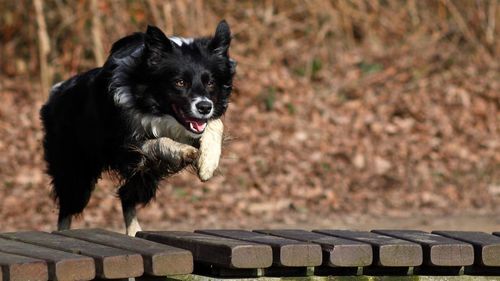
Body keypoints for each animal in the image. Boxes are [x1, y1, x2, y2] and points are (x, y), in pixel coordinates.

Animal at [40, 20, 235, 234]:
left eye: (211, 83)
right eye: (180, 82)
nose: (204, 107)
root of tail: (55, 93)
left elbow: (215, 124)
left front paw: (208, 163)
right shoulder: (123, 147)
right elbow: (157, 141)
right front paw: (182, 151)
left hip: (143, 176)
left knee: (126, 195)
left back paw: (134, 231)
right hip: (75, 171)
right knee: (67, 207)